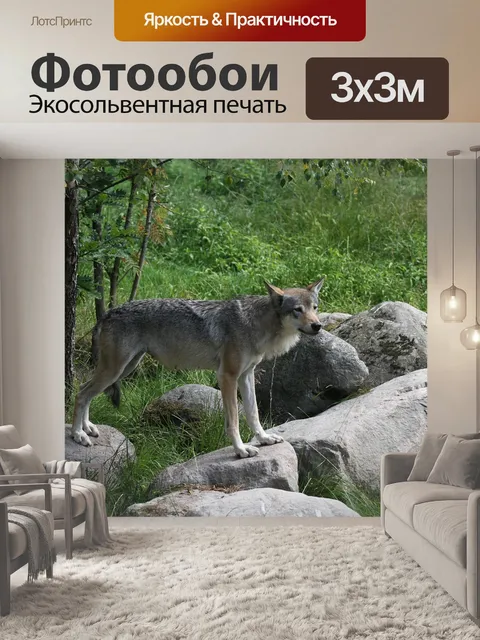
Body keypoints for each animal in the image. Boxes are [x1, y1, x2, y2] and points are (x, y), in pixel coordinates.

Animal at [72, 279, 324, 458]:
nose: (318, 326)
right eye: (297, 310)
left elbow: (253, 413)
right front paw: (241, 450)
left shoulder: (246, 375)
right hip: (116, 370)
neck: (256, 324)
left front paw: (263, 438)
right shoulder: (227, 376)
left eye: (315, 307)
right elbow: (234, 420)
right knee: (81, 394)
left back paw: (88, 427)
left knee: (85, 389)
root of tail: (107, 313)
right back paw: (78, 435)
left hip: (124, 368)